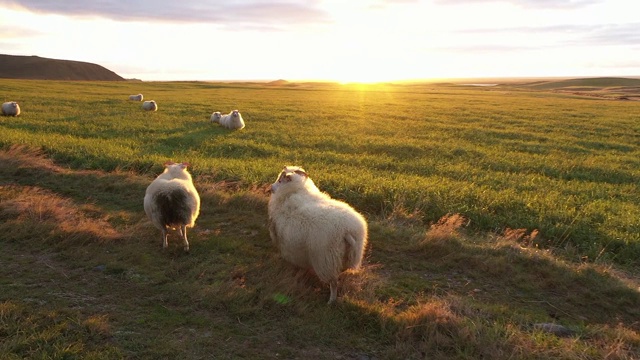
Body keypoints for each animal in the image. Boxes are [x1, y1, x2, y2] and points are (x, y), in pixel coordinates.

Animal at [268, 166, 368, 304]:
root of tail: (347, 231)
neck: (292, 192)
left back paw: (331, 300)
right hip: (349, 256)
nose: (271, 187)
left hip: (326, 260)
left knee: (333, 283)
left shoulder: (283, 240)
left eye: (280, 180)